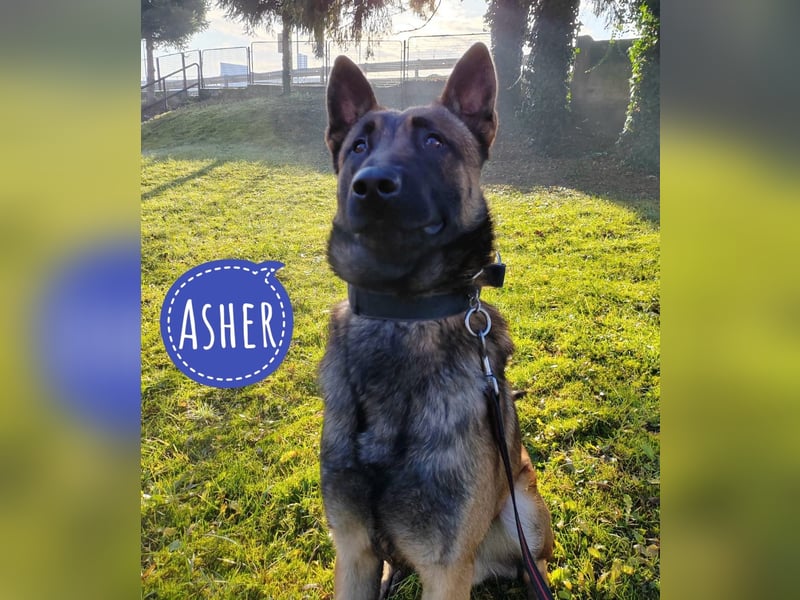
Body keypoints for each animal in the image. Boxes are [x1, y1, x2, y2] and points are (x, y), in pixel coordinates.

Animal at [319, 43, 554, 600]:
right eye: (359, 146)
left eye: (434, 141)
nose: (371, 185)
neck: (402, 313)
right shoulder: (353, 554)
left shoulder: (446, 570)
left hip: (524, 509)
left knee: (531, 563)